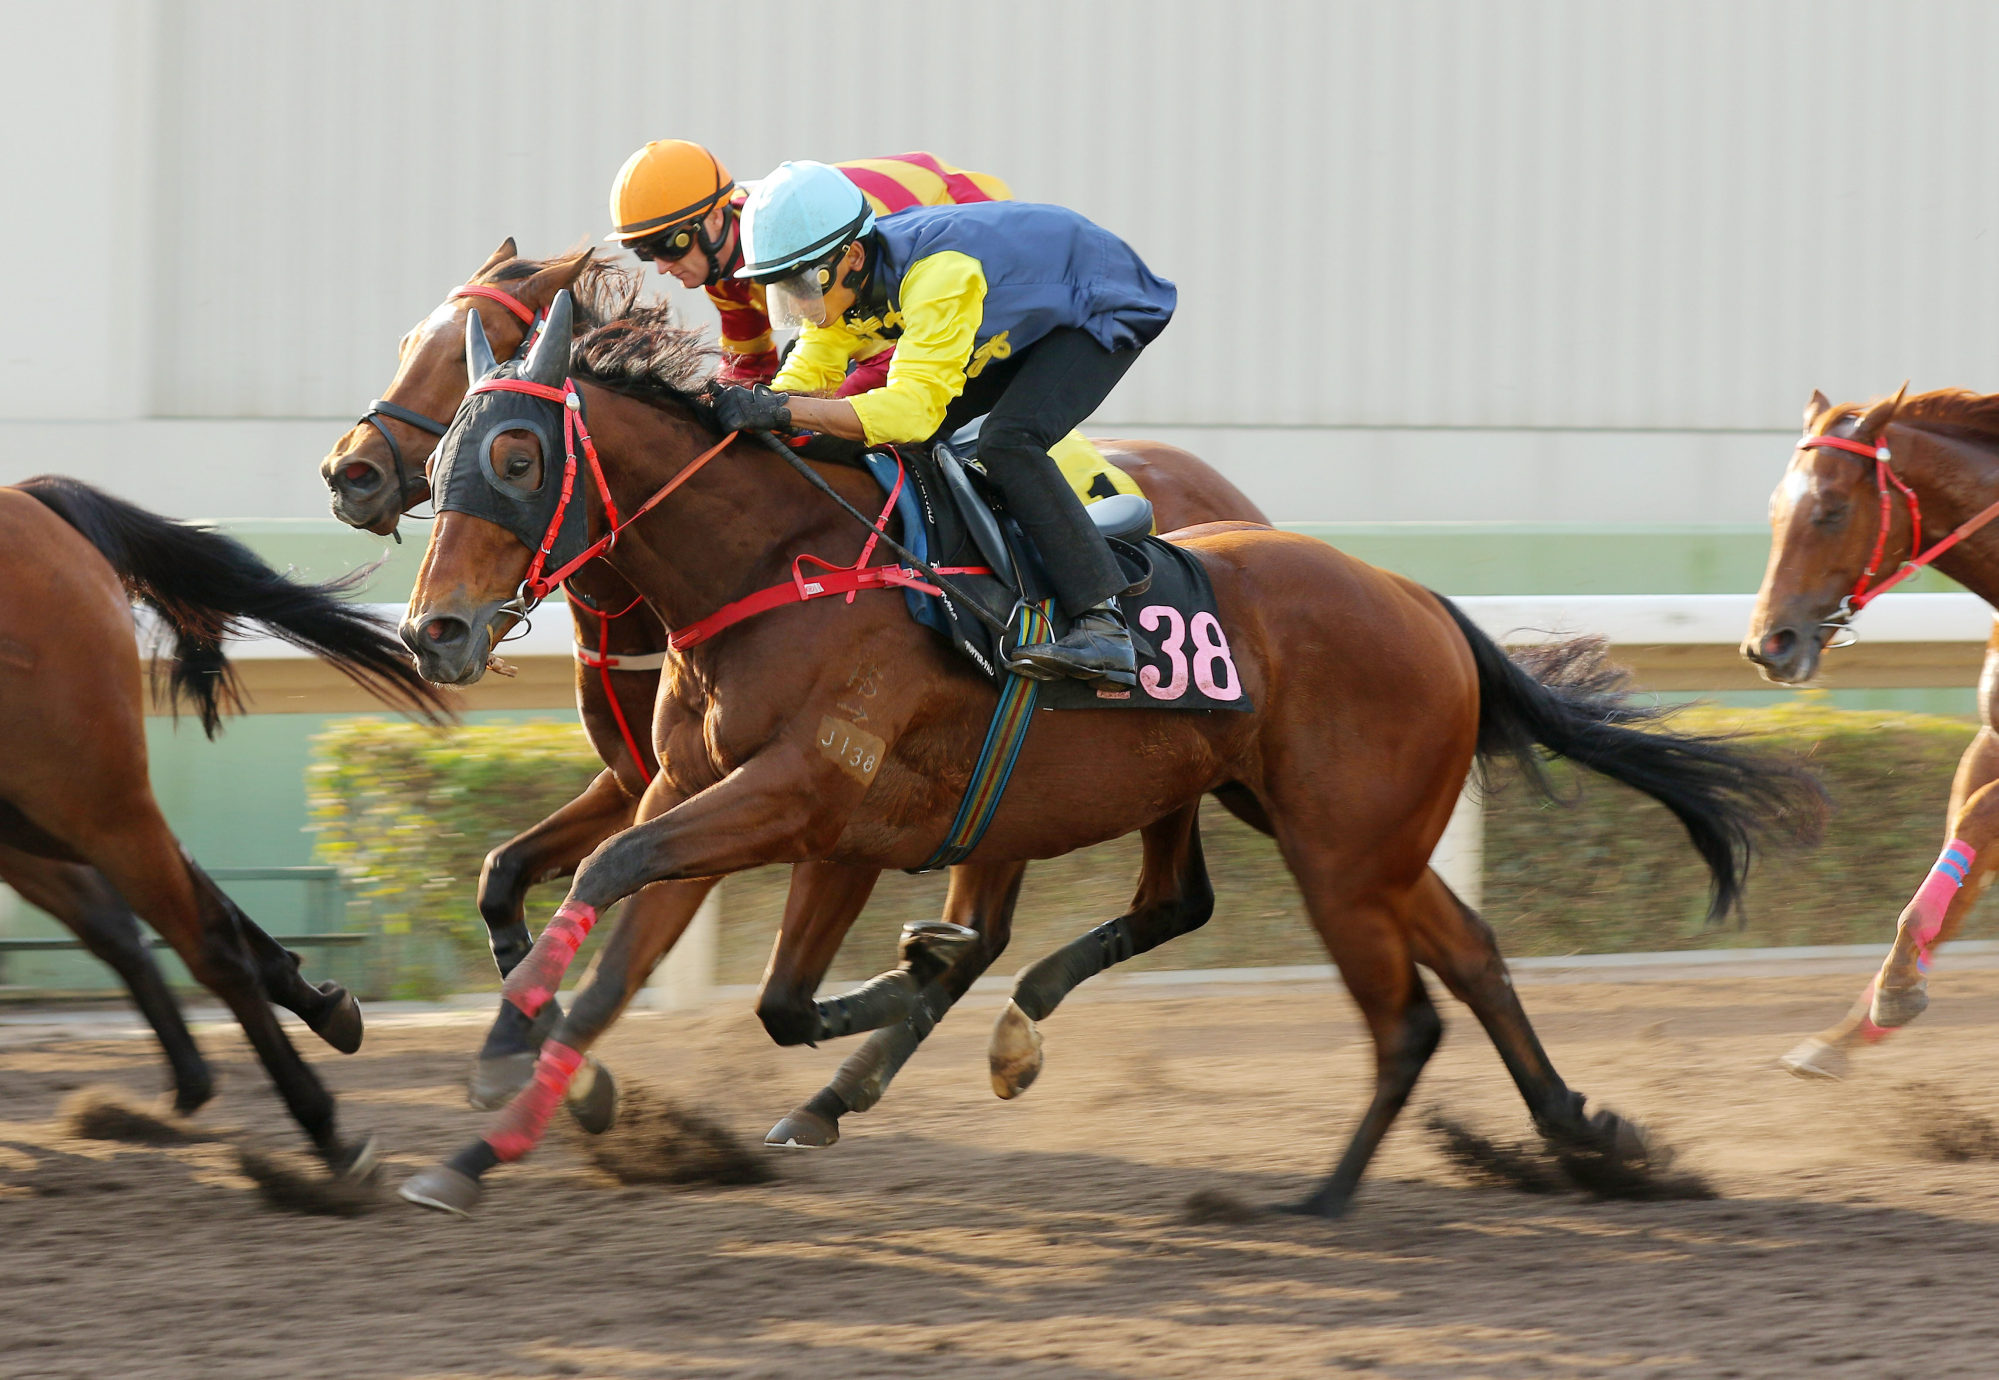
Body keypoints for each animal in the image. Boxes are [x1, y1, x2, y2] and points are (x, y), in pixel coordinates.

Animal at [0, 476, 453, 1168]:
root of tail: (32, 498)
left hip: (83, 791)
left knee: (204, 938)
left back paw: (323, 1127)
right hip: (41, 811)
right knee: (137, 920)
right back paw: (310, 1018)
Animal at [319, 236, 1271, 1136]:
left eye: (515, 457)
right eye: (410, 343)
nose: (350, 474)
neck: (769, 559)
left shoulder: (789, 790)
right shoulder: (644, 778)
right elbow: (504, 873)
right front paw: (565, 1068)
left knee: (1112, 907)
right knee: (1121, 908)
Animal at [1743, 384, 1999, 1072]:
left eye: (1831, 511)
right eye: (1774, 509)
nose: (1767, 645)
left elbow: (1974, 823)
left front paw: (1897, 984)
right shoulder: (1991, 739)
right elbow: (1961, 856)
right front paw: (1856, 1024)